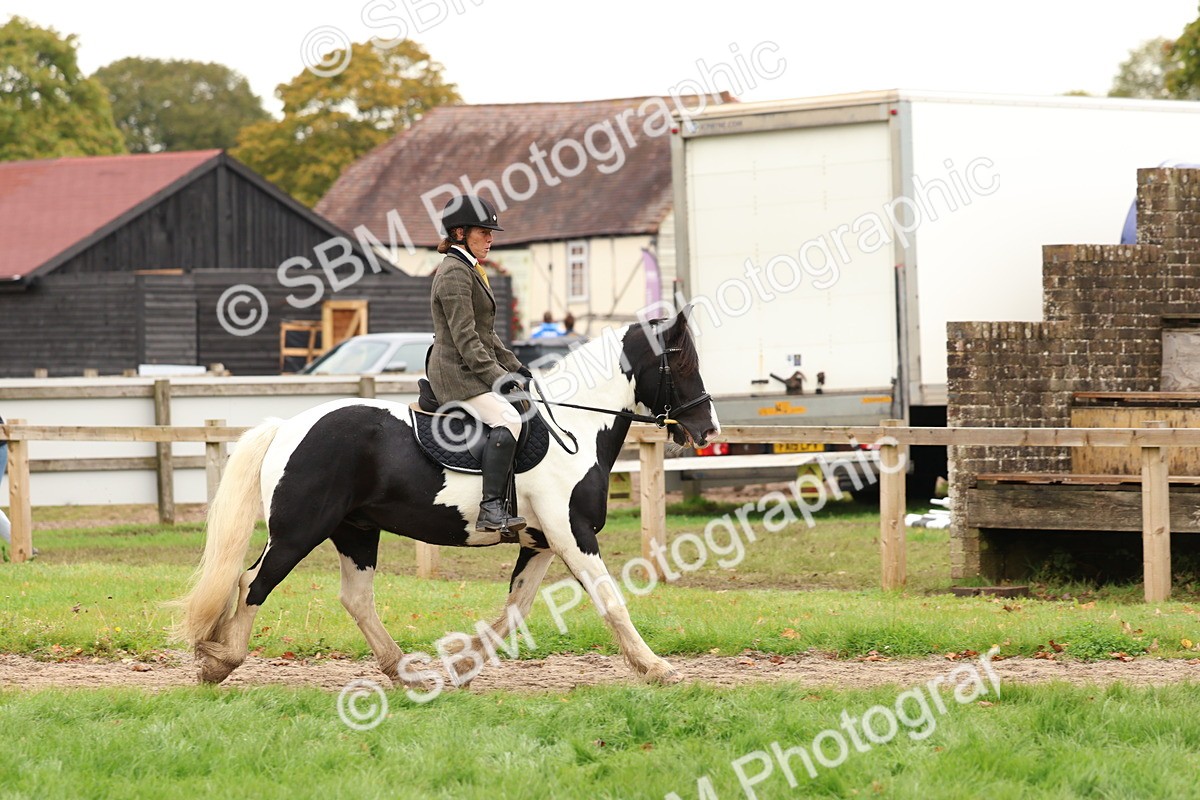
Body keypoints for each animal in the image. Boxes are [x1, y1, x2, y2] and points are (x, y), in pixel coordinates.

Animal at [176, 308, 720, 687]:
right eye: (682, 362)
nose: (707, 428)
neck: (575, 427)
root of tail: (287, 426)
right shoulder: (573, 534)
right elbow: (611, 601)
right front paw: (656, 668)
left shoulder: (543, 541)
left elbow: (515, 610)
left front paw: (461, 666)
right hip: (298, 532)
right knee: (253, 582)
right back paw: (221, 662)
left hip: (356, 531)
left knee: (356, 598)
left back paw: (405, 672)